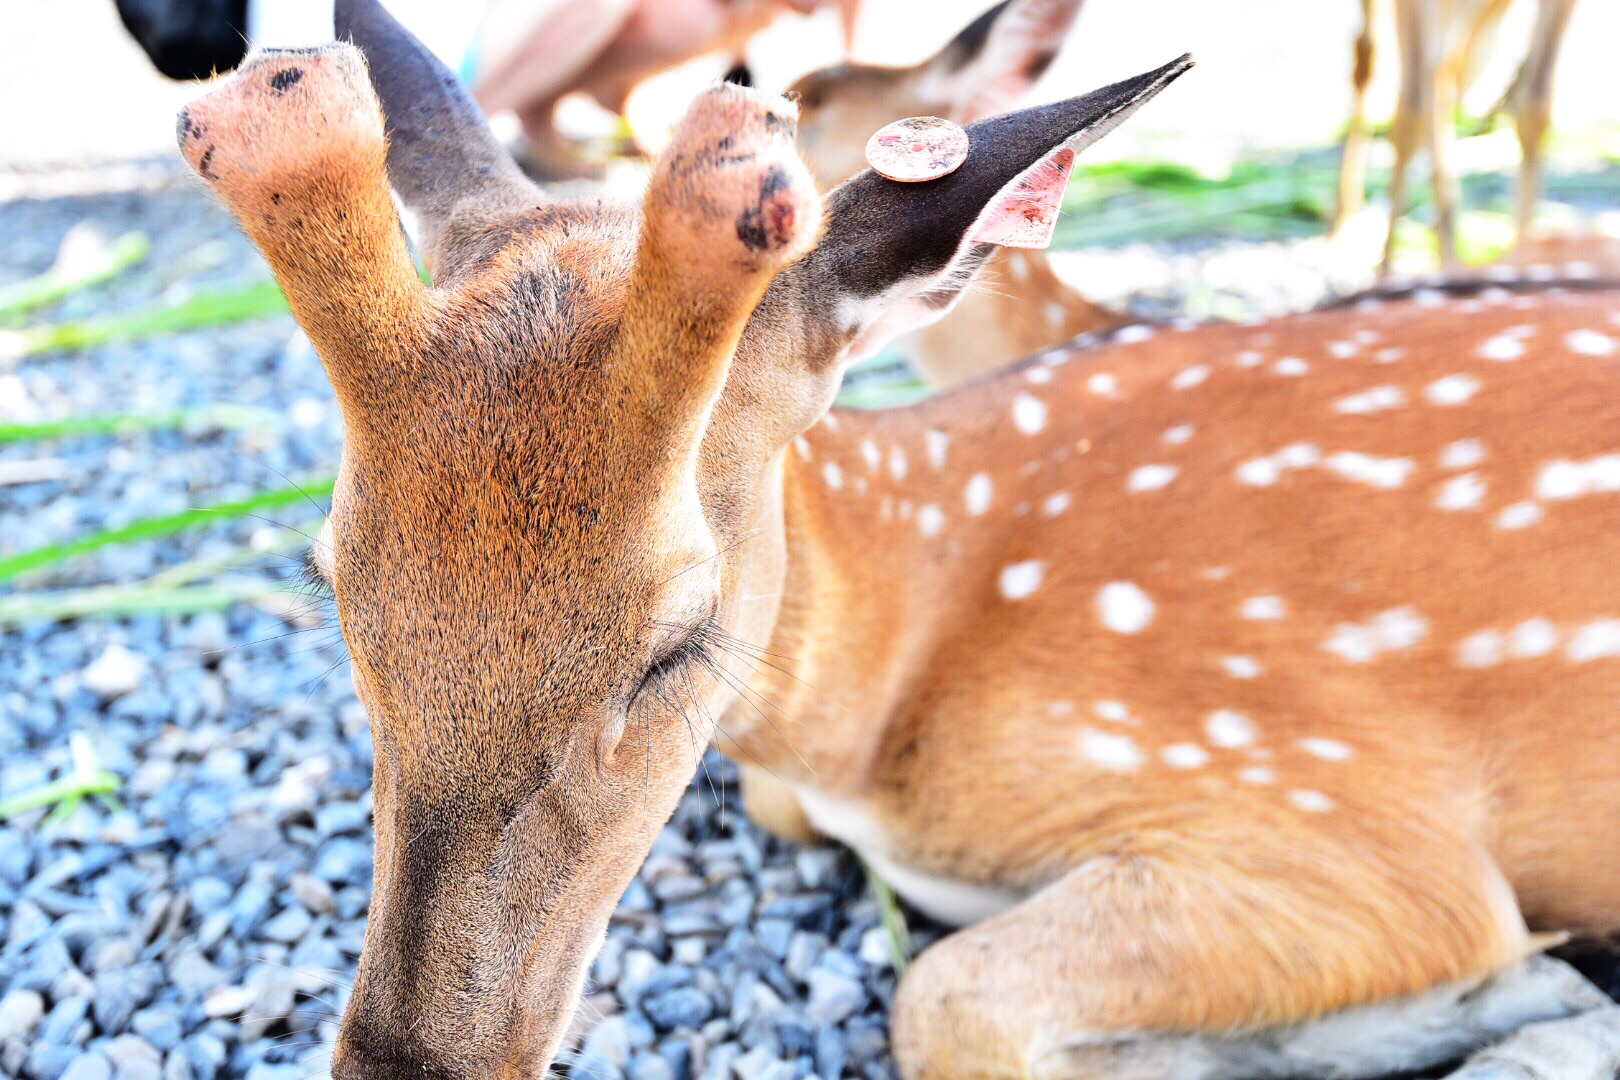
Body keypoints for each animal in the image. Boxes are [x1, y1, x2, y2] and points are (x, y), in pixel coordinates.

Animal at [1328, 0, 1581, 275]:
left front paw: (1526, 256)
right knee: (1372, 59)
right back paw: (1344, 225)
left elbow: (1534, 104)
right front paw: (1385, 273)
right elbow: (1414, 103)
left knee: (1449, 72)